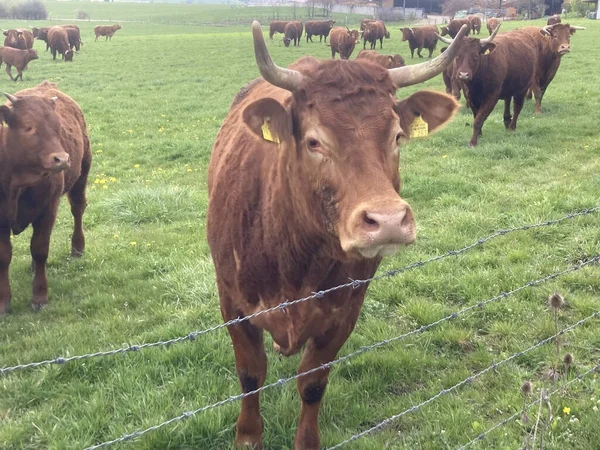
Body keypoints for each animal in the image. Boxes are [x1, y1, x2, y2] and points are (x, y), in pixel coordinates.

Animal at [0, 81, 92, 312]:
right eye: (28, 127)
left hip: (82, 174)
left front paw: (39, 297)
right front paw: (4, 302)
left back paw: (77, 248)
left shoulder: (48, 208)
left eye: (57, 127)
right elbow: (4, 256)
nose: (62, 159)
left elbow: (40, 249)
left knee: (78, 210)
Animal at [206, 19, 468, 450]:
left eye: (397, 135)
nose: (388, 219)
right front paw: (247, 436)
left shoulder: (345, 311)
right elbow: (250, 375)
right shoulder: (233, 305)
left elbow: (313, 382)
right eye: (314, 141)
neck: (293, 256)